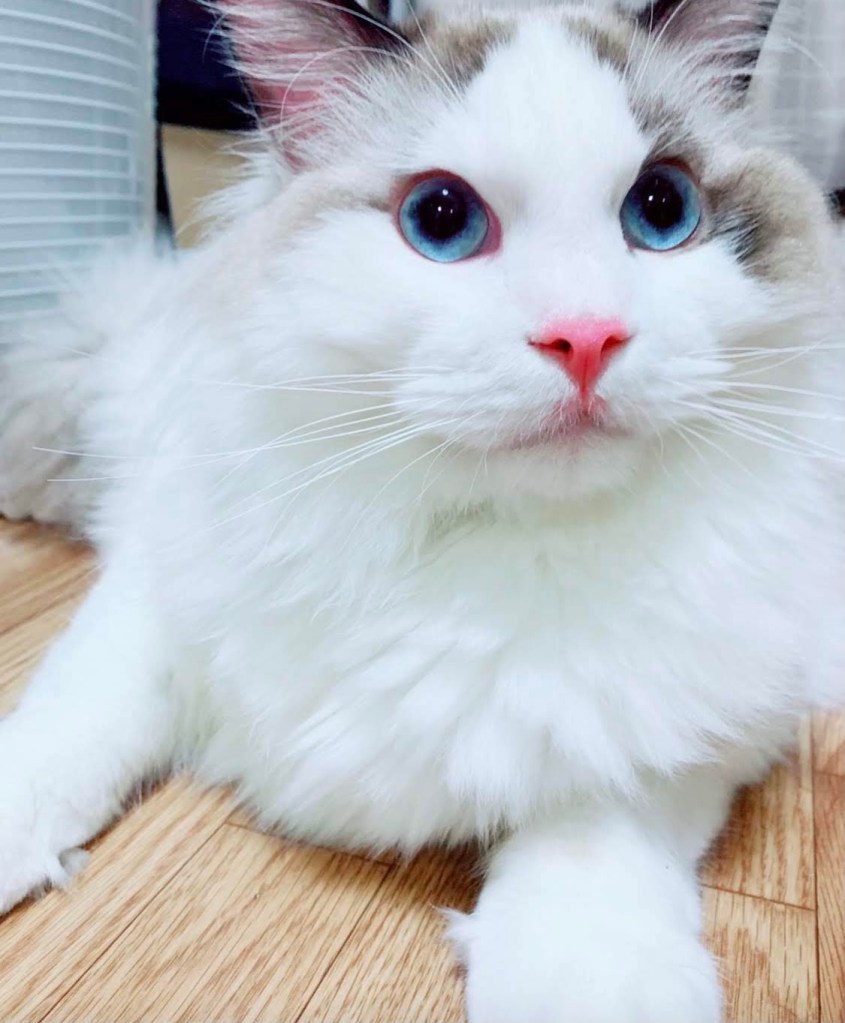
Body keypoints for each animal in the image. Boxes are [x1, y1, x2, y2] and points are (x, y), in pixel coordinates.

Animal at [1, 1, 843, 1020]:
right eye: (440, 220)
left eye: (661, 209)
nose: (585, 337)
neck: (490, 542)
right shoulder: (156, 589)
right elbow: (73, 719)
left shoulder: (695, 725)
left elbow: (596, 828)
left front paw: (585, 975)